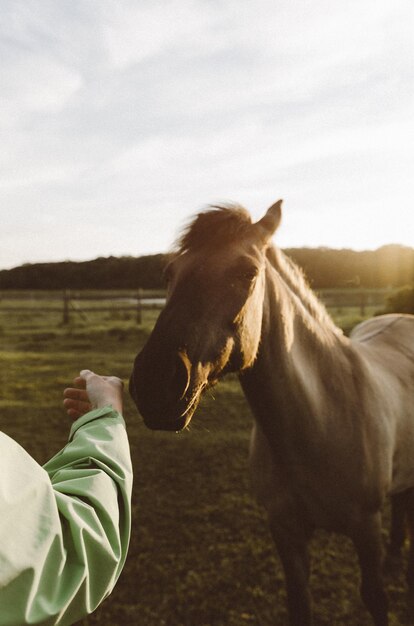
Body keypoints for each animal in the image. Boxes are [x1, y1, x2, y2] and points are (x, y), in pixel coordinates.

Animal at [129, 201, 414, 624]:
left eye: (247, 273)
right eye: (169, 273)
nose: (154, 383)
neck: (320, 419)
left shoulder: (365, 527)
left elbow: (376, 598)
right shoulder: (285, 531)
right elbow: (299, 604)